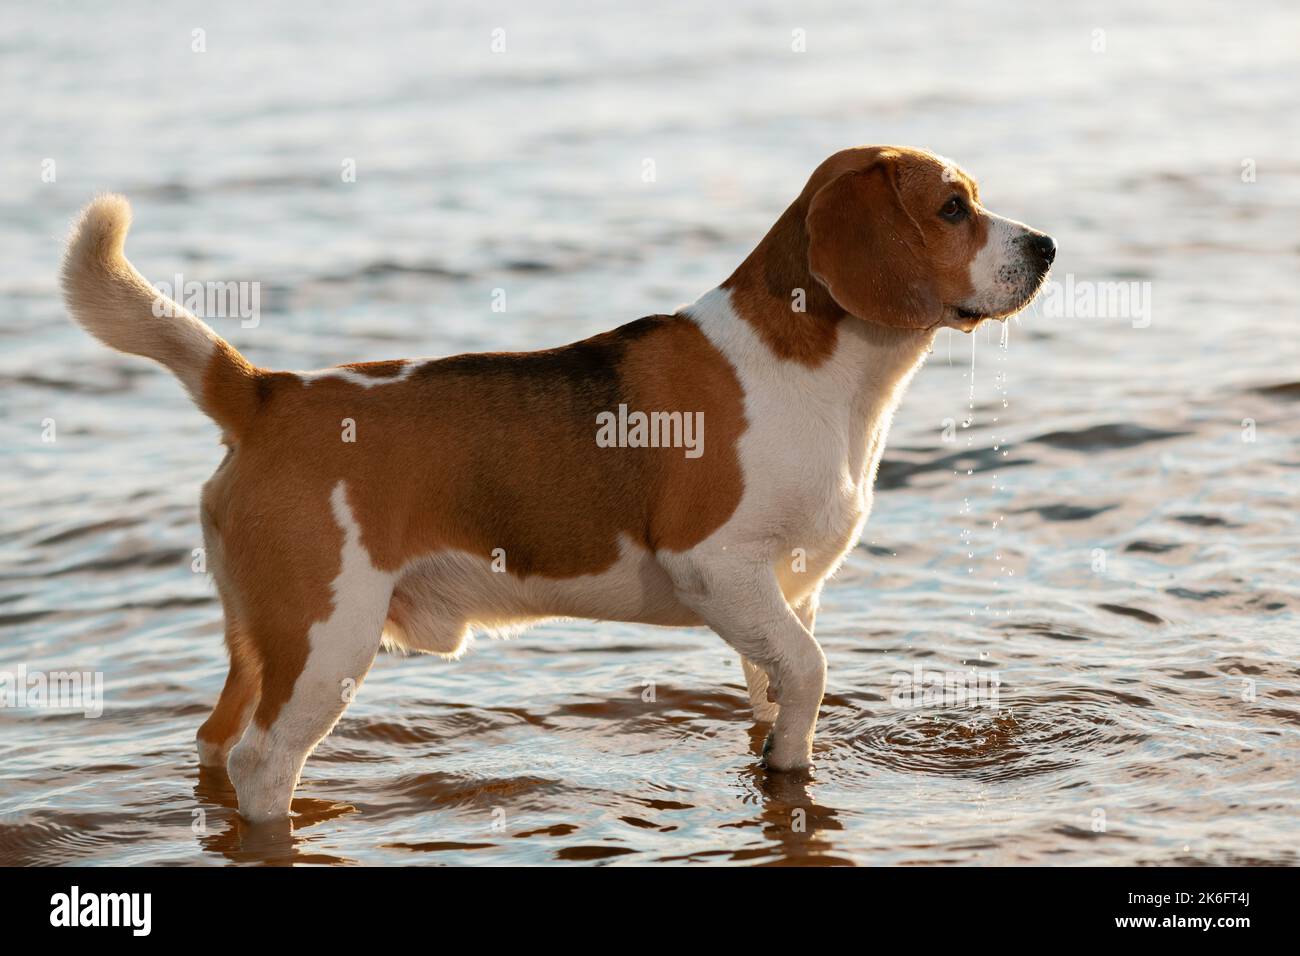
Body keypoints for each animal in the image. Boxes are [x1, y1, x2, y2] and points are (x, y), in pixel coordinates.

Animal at [63, 145, 1055, 816]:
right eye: (954, 207)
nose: (1046, 245)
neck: (825, 372)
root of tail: (267, 392)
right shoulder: (716, 567)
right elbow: (811, 669)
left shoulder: (785, 593)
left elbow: (784, 689)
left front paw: (784, 766)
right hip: (325, 642)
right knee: (261, 762)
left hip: (263, 639)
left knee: (215, 741)